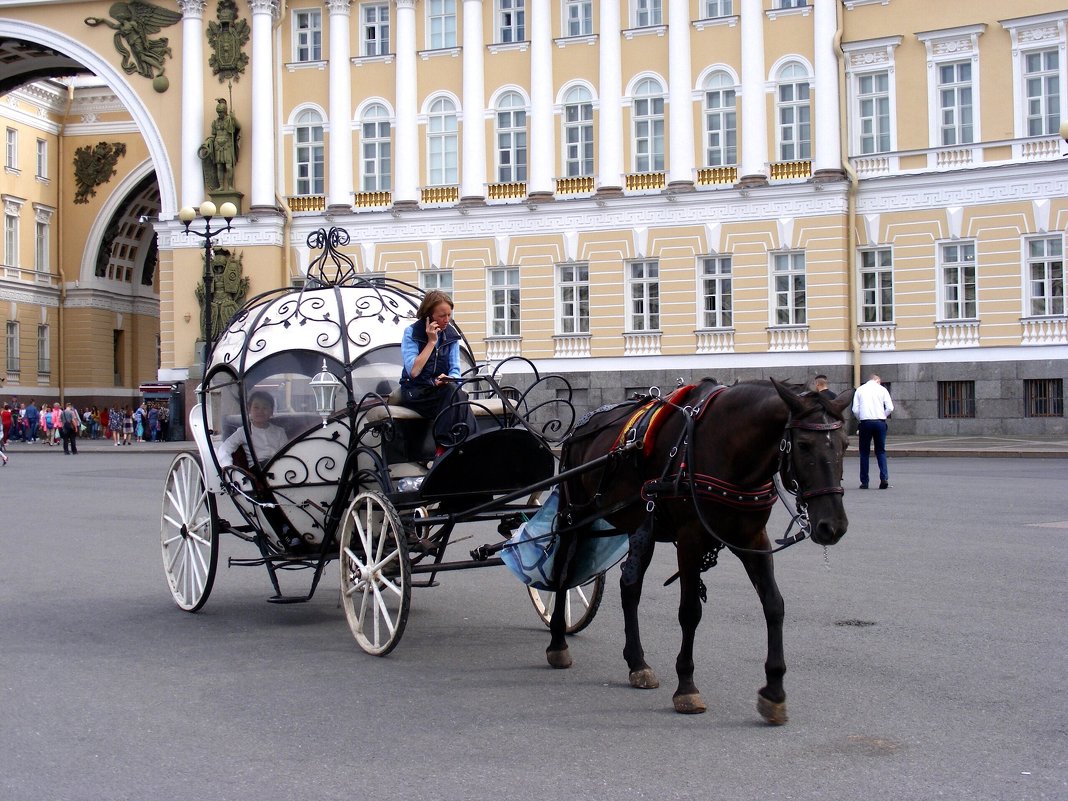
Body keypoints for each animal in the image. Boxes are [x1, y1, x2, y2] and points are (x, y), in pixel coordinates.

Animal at [546, 380, 854, 726]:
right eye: (802, 445)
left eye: (844, 444)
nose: (833, 526)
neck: (727, 446)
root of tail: (580, 427)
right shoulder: (690, 539)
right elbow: (690, 611)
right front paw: (686, 687)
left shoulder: (753, 539)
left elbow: (774, 605)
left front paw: (774, 691)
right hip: (574, 518)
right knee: (562, 571)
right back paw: (557, 641)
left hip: (640, 525)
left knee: (630, 587)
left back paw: (637, 663)